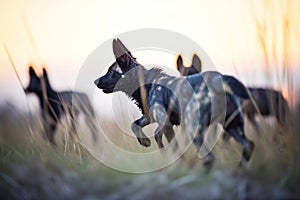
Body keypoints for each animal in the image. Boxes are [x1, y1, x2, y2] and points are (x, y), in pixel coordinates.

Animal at [94, 38, 253, 167]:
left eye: (110, 71)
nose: (95, 81)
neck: (145, 85)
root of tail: (219, 81)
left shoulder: (165, 123)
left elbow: (163, 140)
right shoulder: (151, 118)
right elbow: (135, 125)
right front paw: (144, 141)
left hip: (195, 128)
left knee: (209, 158)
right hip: (232, 126)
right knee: (248, 145)